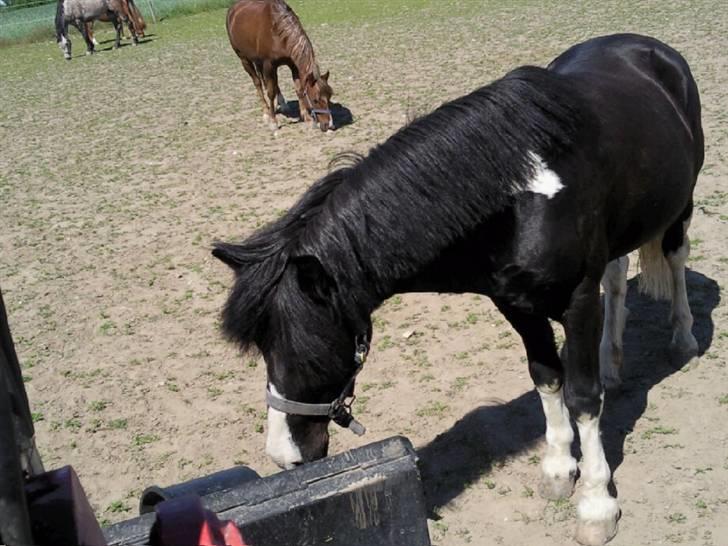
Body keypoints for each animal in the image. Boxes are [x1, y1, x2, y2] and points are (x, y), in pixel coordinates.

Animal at [213, 34, 703, 546]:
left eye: (307, 349)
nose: (282, 454)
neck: (516, 196)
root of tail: (644, 46)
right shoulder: (515, 305)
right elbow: (547, 376)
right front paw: (557, 469)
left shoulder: (579, 300)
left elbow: (584, 398)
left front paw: (595, 505)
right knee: (618, 274)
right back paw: (612, 361)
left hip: (681, 204)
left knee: (676, 257)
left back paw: (683, 339)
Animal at [226, 0, 334, 132]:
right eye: (315, 100)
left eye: (329, 97)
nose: (329, 125)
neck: (277, 31)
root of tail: (233, 9)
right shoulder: (268, 65)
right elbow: (270, 92)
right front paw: (273, 122)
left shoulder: (292, 64)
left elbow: (299, 90)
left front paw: (307, 119)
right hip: (244, 59)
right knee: (258, 83)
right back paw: (266, 112)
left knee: (272, 82)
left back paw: (282, 104)